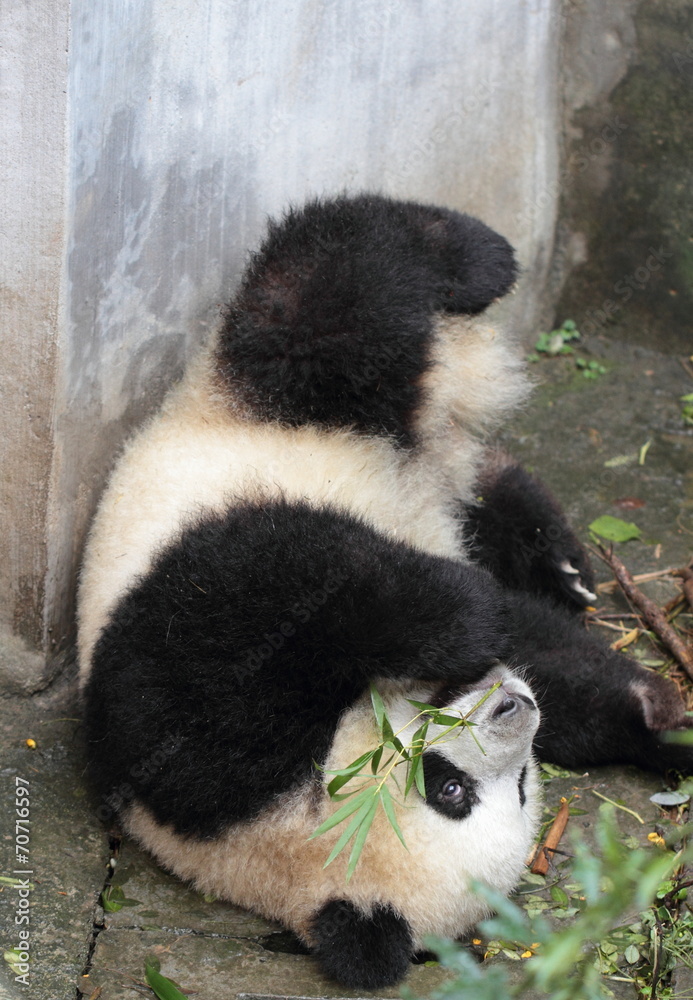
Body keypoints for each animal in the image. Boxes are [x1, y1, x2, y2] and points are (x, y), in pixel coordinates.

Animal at [78, 194, 693, 990]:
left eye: (522, 787)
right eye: (452, 790)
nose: (513, 710)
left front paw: (665, 723)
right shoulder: (190, 759)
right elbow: (237, 638)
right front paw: (476, 621)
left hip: (303, 416)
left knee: (336, 287)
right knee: (335, 302)